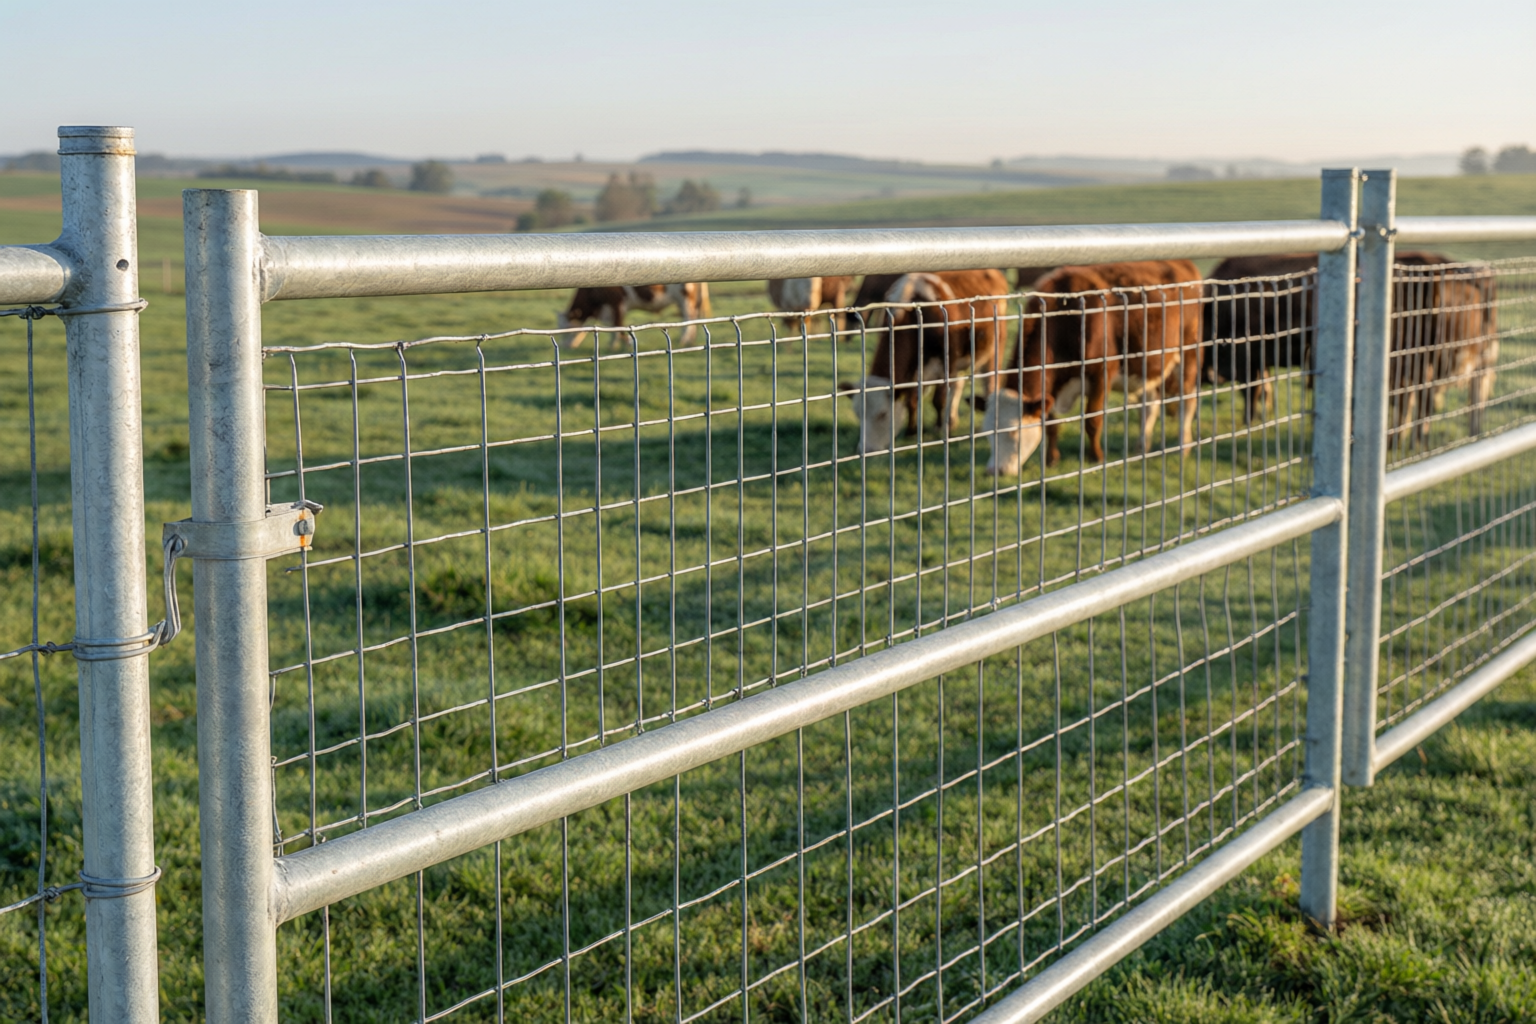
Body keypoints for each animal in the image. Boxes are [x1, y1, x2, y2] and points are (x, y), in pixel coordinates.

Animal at [556, 283, 712, 349]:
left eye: (568, 328)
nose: (565, 346)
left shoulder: (617, 303)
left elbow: (618, 324)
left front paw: (619, 344)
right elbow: (613, 326)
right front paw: (616, 343)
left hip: (684, 297)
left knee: (688, 318)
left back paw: (684, 340)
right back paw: (689, 340)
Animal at [838, 269, 1009, 455]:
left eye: (883, 414)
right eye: (857, 414)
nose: (866, 449)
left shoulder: (947, 362)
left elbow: (939, 399)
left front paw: (939, 427)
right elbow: (912, 400)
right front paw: (912, 431)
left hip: (995, 348)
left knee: (989, 382)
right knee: (958, 385)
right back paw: (952, 420)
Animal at [982, 260, 1204, 476]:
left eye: (1013, 431)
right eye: (987, 432)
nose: (994, 471)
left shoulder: (1101, 373)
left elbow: (1093, 420)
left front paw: (1096, 458)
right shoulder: (1050, 386)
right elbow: (1051, 424)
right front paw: (1051, 459)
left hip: (1189, 352)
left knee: (1188, 399)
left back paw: (1183, 447)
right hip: (1147, 364)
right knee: (1150, 404)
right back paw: (1141, 448)